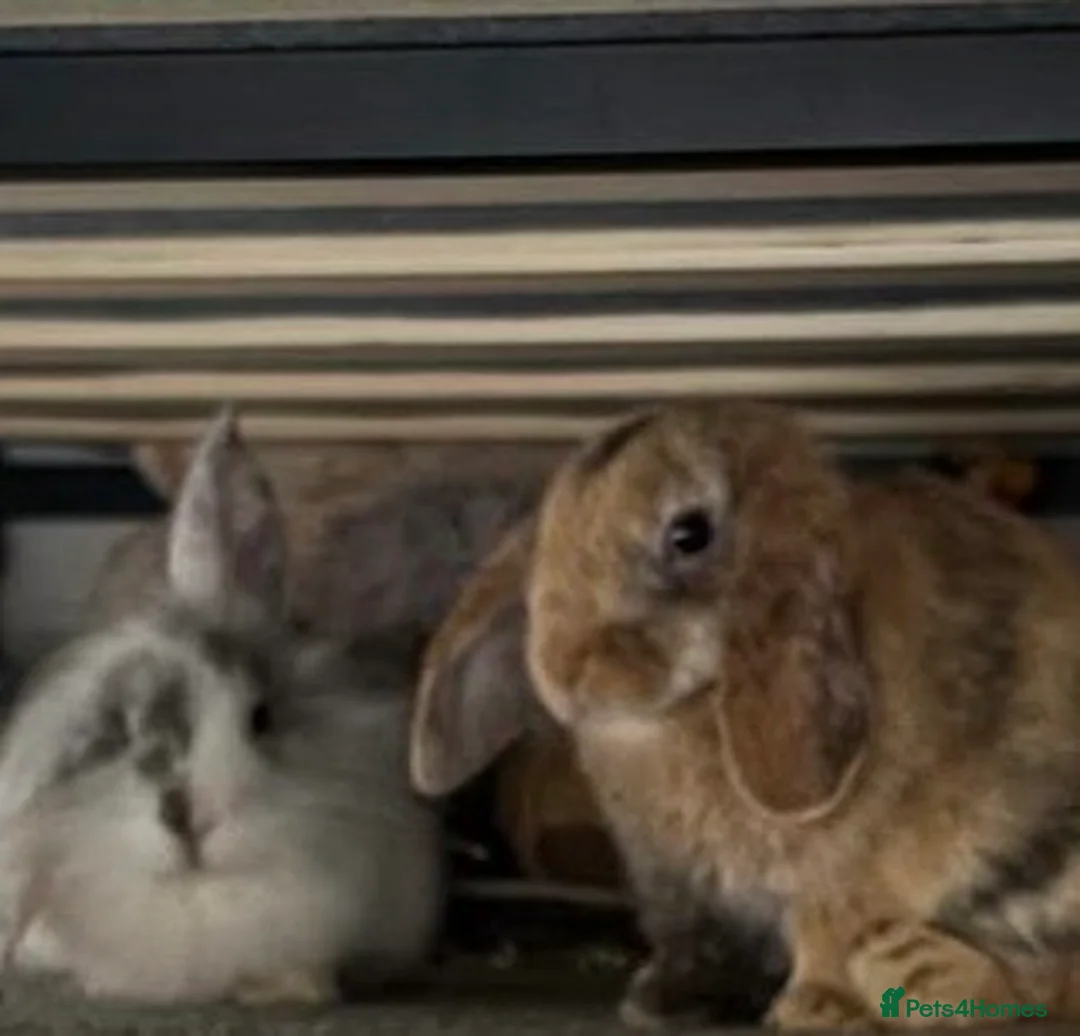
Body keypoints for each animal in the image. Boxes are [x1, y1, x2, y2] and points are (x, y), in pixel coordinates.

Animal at [409, 398, 1080, 1030]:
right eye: (551, 532)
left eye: (689, 534)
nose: (565, 667)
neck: (684, 712)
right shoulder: (680, 886)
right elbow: (697, 941)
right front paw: (661, 1001)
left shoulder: (854, 866)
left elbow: (829, 920)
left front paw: (816, 1007)